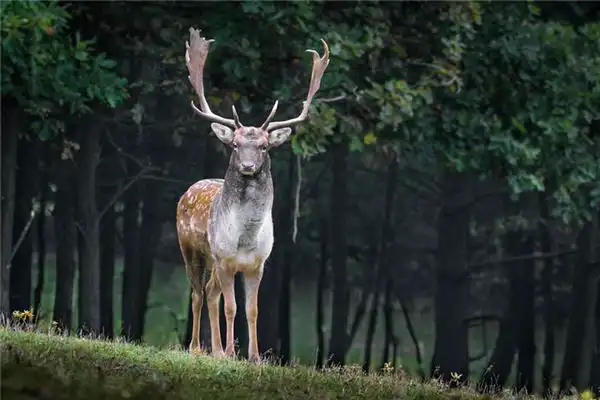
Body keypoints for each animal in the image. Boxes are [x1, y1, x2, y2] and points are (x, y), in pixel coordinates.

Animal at [176, 26, 330, 364]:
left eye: (263, 146)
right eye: (235, 144)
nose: (247, 166)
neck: (244, 239)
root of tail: (189, 190)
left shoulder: (258, 265)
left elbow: (252, 309)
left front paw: (255, 357)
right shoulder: (225, 260)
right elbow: (231, 307)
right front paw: (230, 352)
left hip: (212, 261)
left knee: (210, 292)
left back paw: (214, 349)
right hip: (191, 250)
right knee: (197, 293)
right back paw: (197, 348)